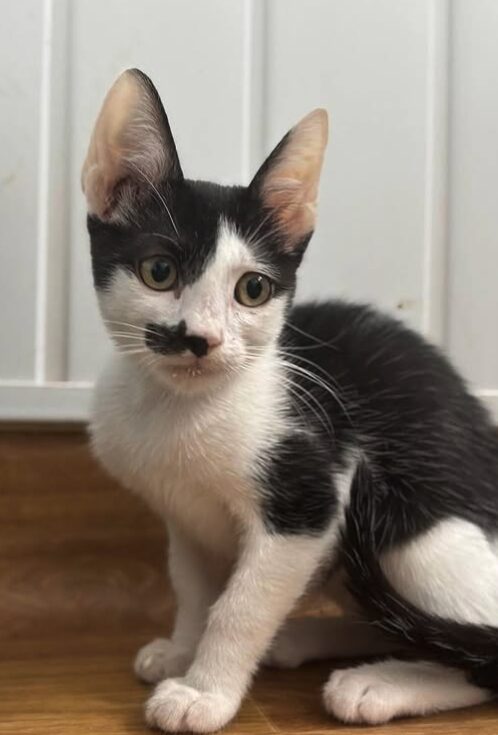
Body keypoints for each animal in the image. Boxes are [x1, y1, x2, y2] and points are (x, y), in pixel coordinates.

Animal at [81, 67, 498, 732]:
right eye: (158, 272)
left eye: (252, 289)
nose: (201, 339)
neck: (181, 409)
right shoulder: (183, 515)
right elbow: (194, 588)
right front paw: (182, 649)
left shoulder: (310, 502)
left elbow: (241, 605)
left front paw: (204, 693)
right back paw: (309, 641)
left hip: (413, 529)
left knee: (481, 653)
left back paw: (379, 683)